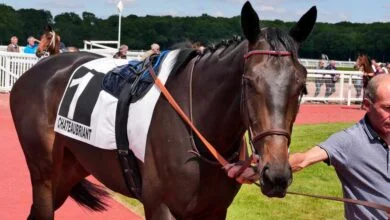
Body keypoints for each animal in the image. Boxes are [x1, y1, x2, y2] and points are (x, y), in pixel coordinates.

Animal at [10, 2, 316, 220]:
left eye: (301, 86)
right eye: (249, 81)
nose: (276, 175)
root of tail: (36, 70)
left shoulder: (214, 210)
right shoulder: (160, 207)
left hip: (71, 168)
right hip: (44, 172)